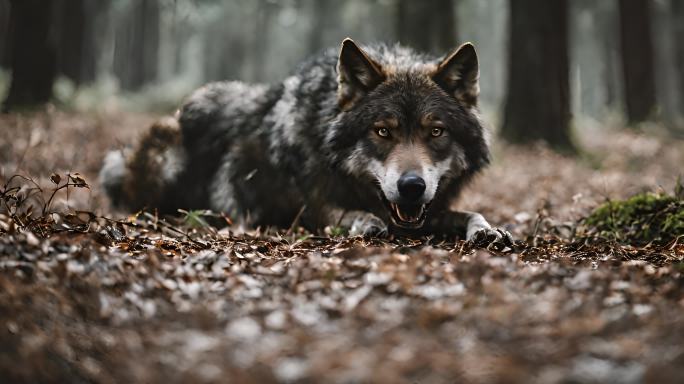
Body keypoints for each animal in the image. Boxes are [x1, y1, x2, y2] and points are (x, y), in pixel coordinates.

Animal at [100, 39, 508, 243]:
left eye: (436, 132)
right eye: (383, 131)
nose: (411, 186)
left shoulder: (430, 209)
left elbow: (472, 213)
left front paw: (488, 229)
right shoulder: (305, 205)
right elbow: (341, 212)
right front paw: (365, 221)